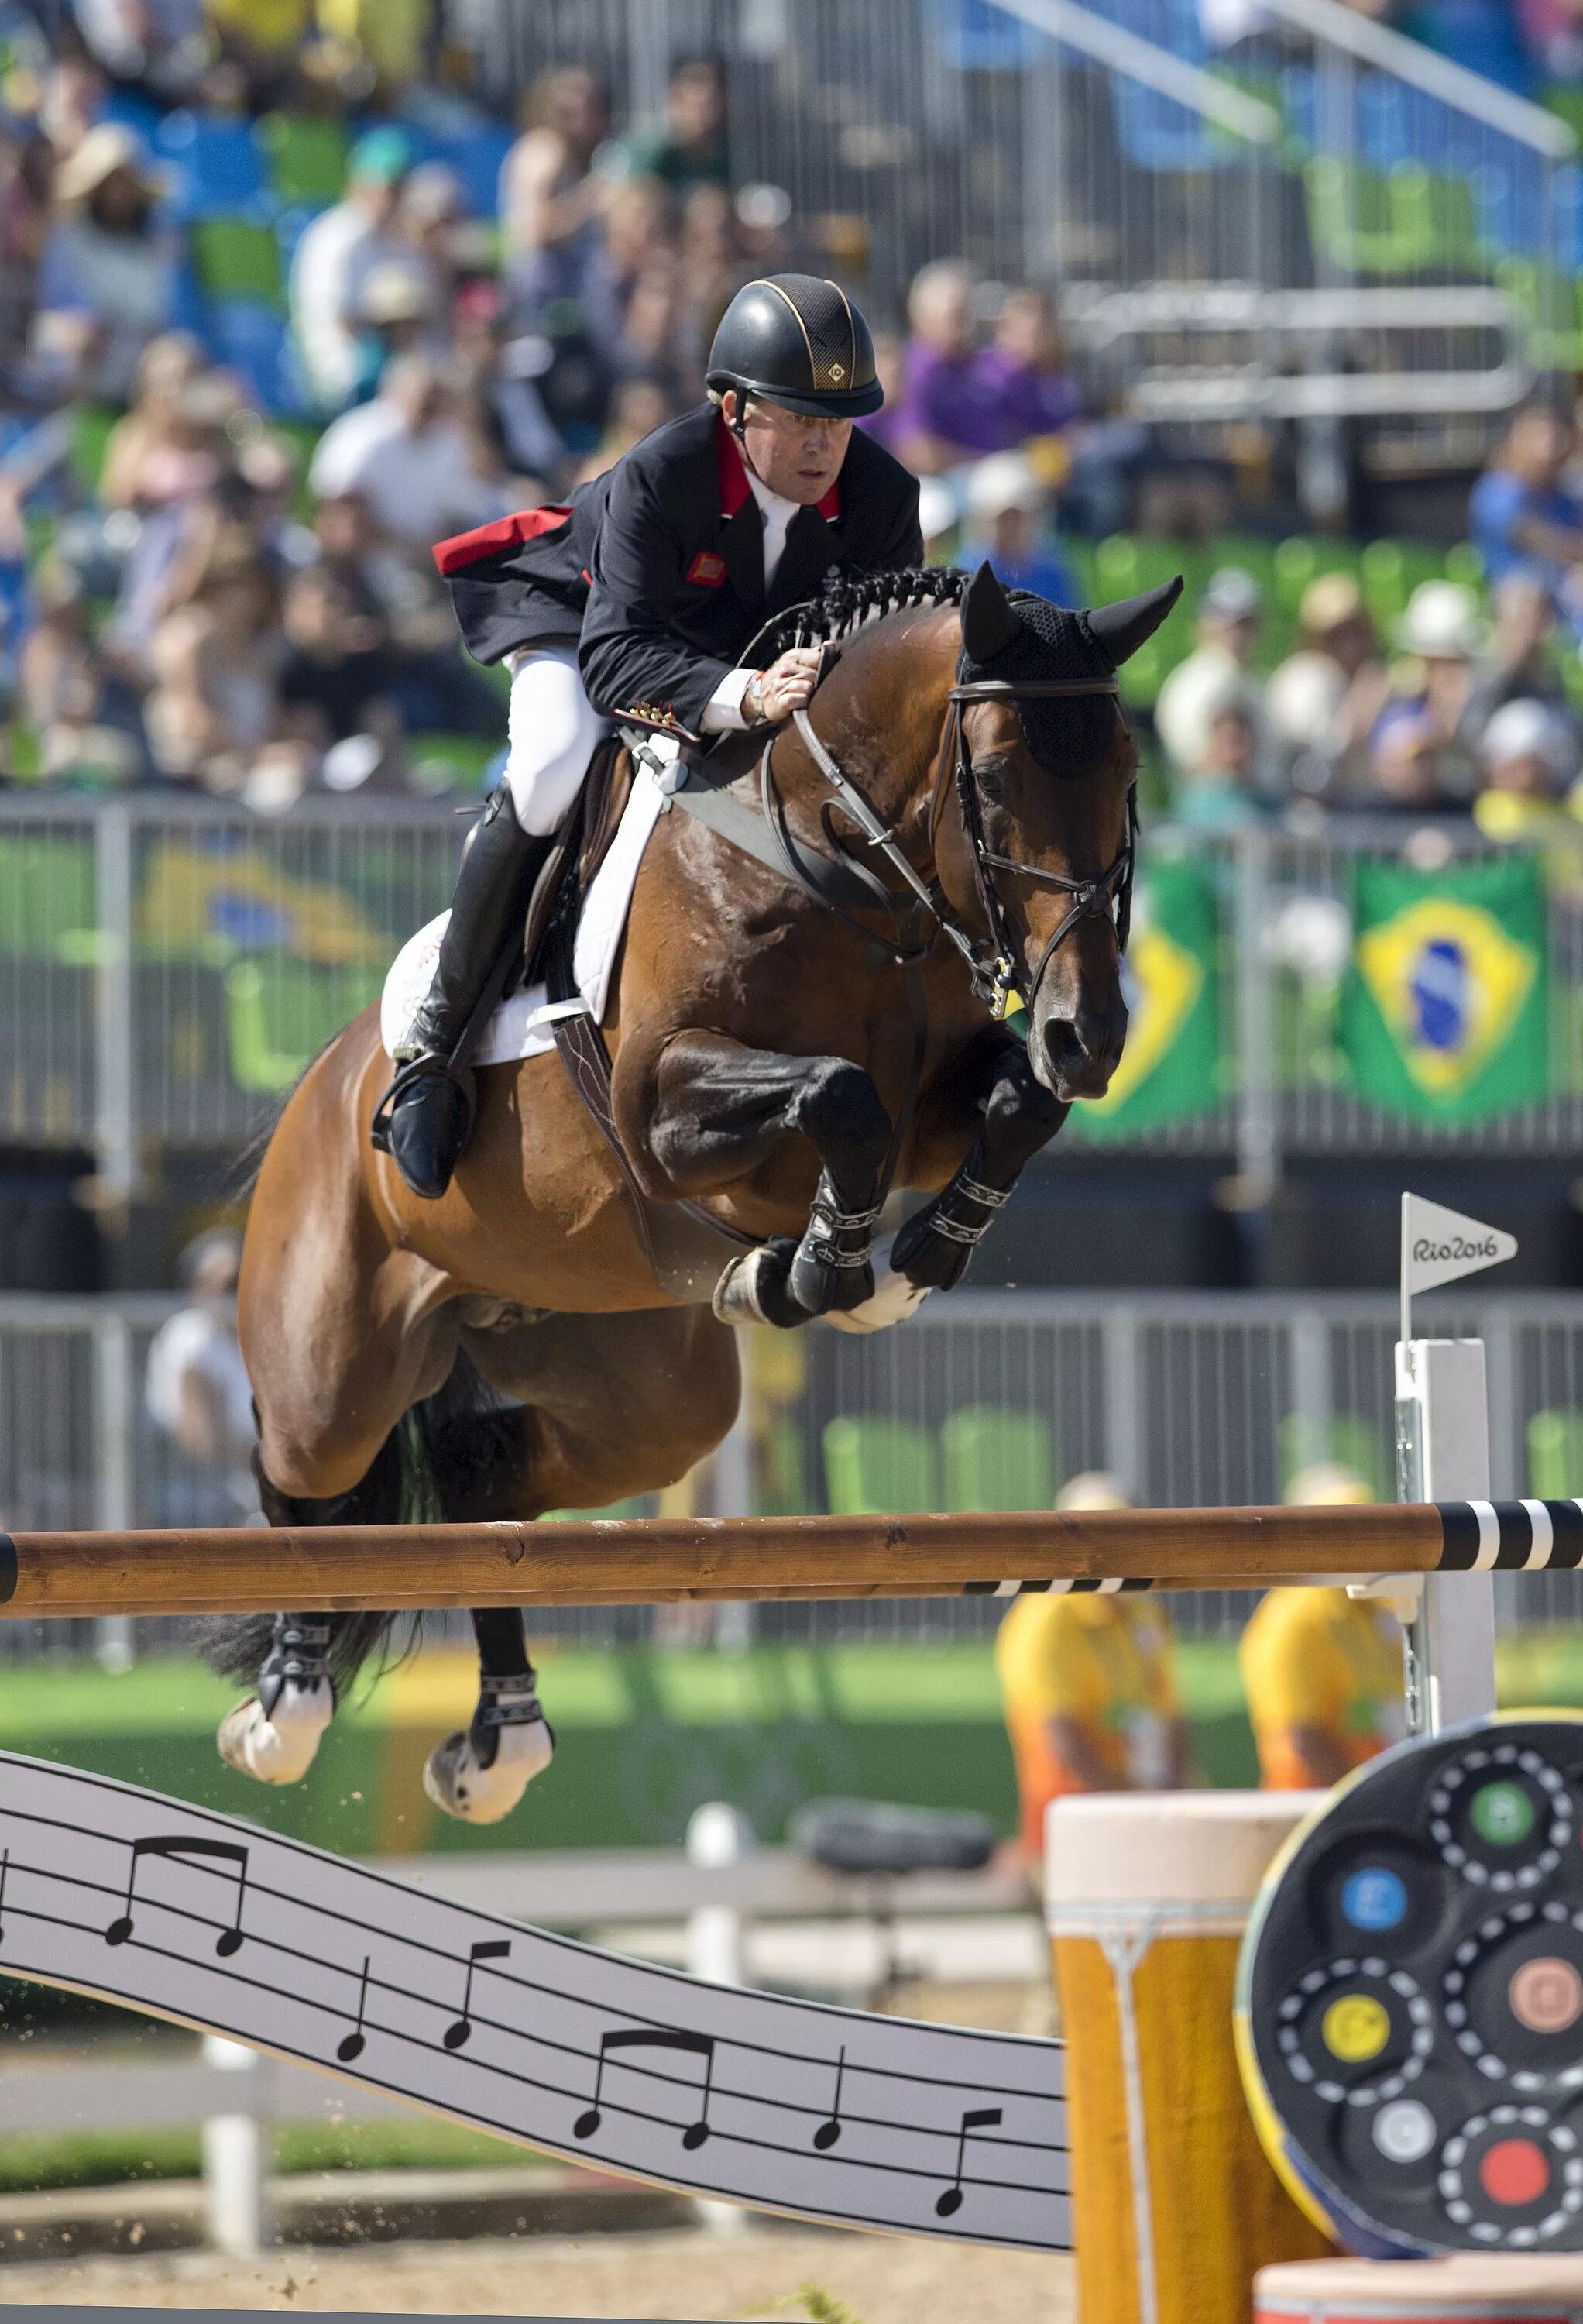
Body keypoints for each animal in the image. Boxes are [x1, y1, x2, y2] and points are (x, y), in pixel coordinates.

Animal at [203, 558, 1171, 1813]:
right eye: (998, 777)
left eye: (1127, 774)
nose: (1089, 1036)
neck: (839, 867)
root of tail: (320, 1085)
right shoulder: (662, 1111)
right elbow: (840, 1097)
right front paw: (829, 1270)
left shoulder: (937, 1096)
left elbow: (1010, 1109)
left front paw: (907, 1260)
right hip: (334, 1353)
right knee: (307, 1482)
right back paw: (285, 1707)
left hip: (641, 1395)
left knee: (483, 1480)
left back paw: (500, 1735)